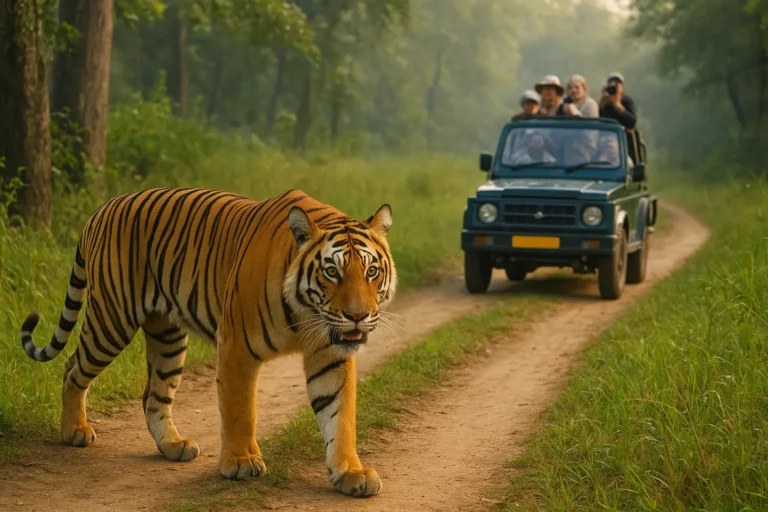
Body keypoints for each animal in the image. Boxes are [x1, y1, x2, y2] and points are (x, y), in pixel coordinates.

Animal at [20, 187, 396, 497]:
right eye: (332, 272)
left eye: (371, 272)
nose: (357, 316)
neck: (308, 313)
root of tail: (101, 209)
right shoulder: (236, 346)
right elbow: (240, 409)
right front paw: (241, 462)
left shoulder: (330, 353)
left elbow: (340, 415)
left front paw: (351, 473)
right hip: (111, 320)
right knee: (72, 368)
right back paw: (75, 431)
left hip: (168, 337)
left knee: (153, 395)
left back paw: (173, 446)